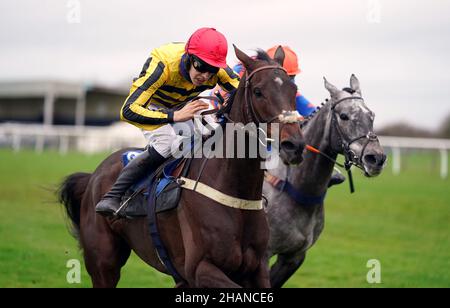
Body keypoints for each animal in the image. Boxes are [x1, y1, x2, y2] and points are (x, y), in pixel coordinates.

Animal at [58, 46, 306, 288]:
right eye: (258, 92)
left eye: (294, 90)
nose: (294, 145)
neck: (235, 192)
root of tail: (92, 177)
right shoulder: (200, 269)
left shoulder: (256, 268)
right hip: (104, 263)